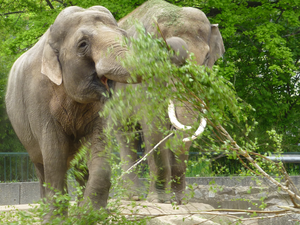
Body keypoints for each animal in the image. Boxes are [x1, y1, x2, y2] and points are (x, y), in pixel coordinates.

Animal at [5, 5, 136, 223]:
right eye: (83, 44)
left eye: (125, 36)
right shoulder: (38, 98)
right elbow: (54, 156)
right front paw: (55, 220)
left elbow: (100, 150)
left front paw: (90, 215)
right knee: (42, 167)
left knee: (81, 169)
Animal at [113, 0, 224, 204]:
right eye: (164, 57)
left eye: (206, 58)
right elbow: (154, 127)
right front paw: (158, 200)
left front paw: (178, 201)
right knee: (125, 133)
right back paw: (133, 197)